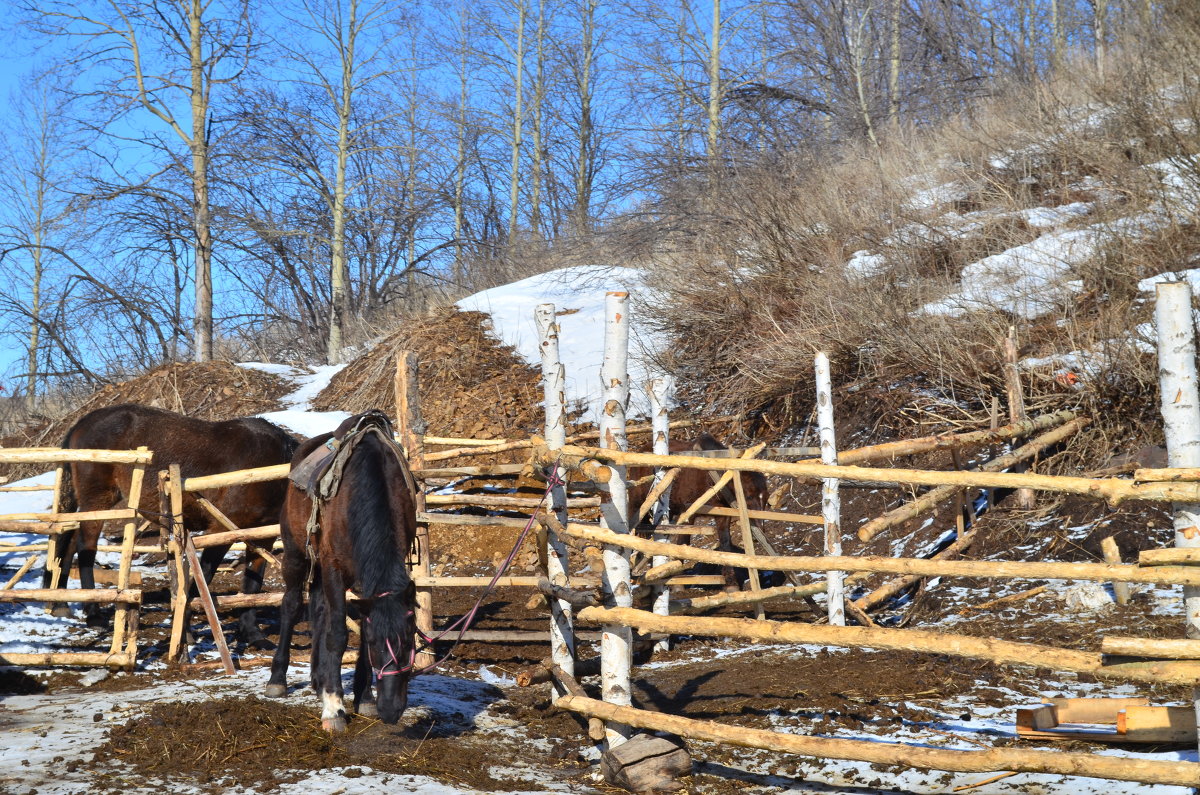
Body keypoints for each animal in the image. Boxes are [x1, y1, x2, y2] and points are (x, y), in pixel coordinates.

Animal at [49, 405, 297, 648]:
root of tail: (83, 422)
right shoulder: (220, 530)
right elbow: (202, 580)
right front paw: (184, 632)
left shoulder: (261, 535)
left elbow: (252, 584)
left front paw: (252, 634)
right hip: (98, 500)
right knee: (85, 547)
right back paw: (94, 615)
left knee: (71, 540)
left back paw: (61, 602)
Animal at [270, 410, 420, 734]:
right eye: (378, 645)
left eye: (409, 641)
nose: (391, 710)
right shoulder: (335, 569)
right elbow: (338, 635)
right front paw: (334, 709)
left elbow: (355, 628)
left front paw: (364, 698)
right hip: (295, 554)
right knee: (291, 605)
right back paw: (278, 680)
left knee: (319, 610)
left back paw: (318, 680)